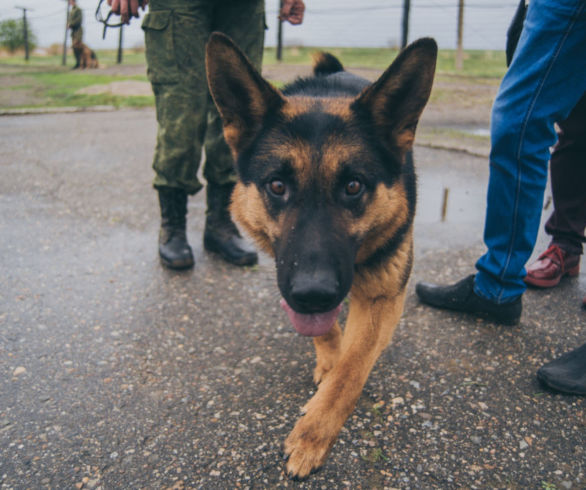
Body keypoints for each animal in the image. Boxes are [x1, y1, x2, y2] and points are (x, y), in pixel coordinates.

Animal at [204, 33, 434, 478]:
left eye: (353, 186)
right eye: (277, 186)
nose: (313, 294)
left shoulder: (383, 295)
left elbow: (351, 371)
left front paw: (313, 435)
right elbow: (326, 335)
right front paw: (328, 360)